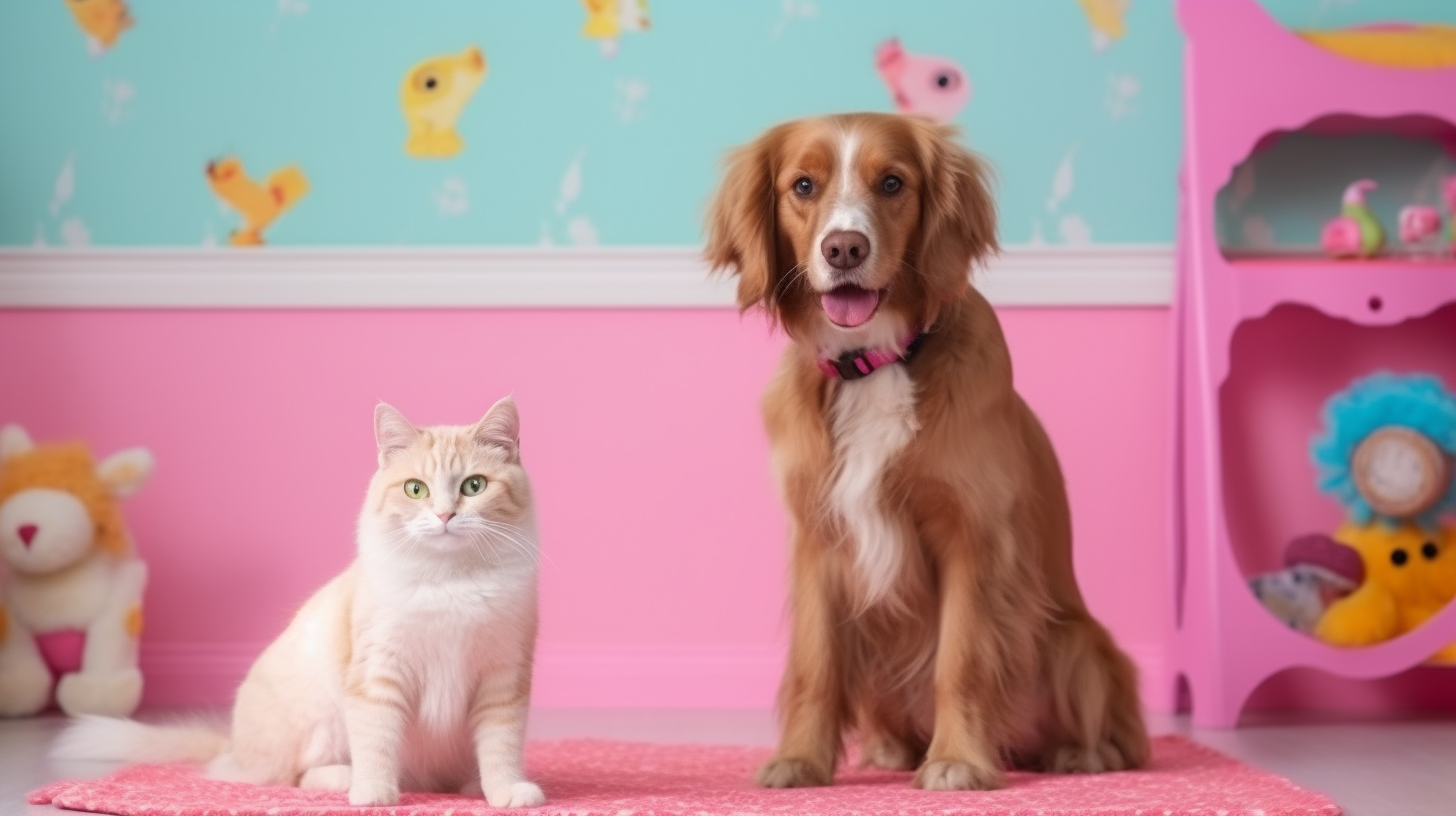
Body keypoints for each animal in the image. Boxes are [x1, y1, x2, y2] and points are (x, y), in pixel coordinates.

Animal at [52, 396, 547, 810]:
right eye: (415, 490)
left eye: (474, 486)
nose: (445, 516)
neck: (451, 580)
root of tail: (234, 749)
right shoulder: (376, 672)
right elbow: (377, 741)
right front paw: (374, 793)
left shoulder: (503, 677)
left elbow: (500, 746)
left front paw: (505, 791)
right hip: (320, 716)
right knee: (297, 776)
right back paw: (350, 779)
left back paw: (469, 785)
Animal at [704, 115, 1147, 792]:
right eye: (803, 185)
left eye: (892, 182)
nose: (844, 249)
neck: (876, 363)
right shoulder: (818, 540)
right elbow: (815, 664)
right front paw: (801, 759)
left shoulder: (973, 537)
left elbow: (960, 661)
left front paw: (959, 760)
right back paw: (892, 749)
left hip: (1077, 644)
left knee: (1115, 732)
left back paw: (1080, 754)